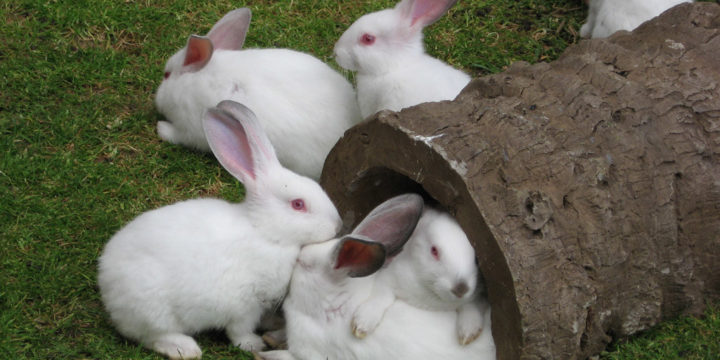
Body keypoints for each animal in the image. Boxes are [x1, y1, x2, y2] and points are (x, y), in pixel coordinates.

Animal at [98, 100, 344, 360]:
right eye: (298, 204)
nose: (337, 226)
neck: (265, 231)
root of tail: (105, 281)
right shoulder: (245, 304)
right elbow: (239, 330)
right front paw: (254, 345)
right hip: (154, 312)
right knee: (151, 336)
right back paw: (185, 349)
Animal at [155, 9, 362, 180]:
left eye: (166, 75)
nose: (155, 100)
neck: (190, 81)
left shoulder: (190, 129)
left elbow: (178, 136)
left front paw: (161, 128)